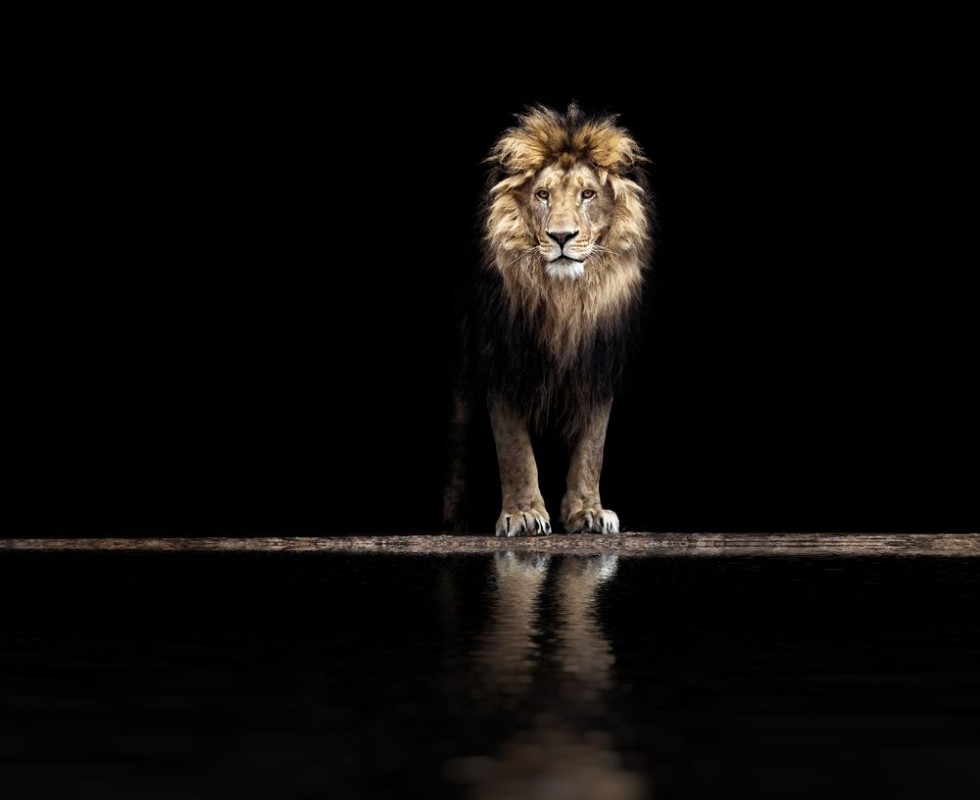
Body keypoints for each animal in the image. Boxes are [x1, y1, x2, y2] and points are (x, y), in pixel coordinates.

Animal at [443, 104, 655, 536]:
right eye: (542, 195)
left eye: (588, 194)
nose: (561, 236)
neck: (565, 300)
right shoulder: (503, 358)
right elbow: (514, 449)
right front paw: (523, 513)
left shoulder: (597, 364)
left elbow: (592, 446)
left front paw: (588, 512)